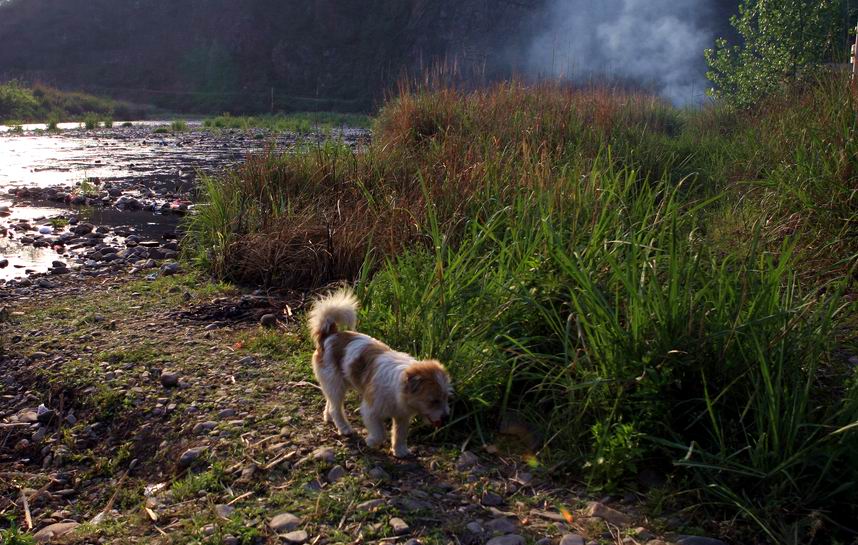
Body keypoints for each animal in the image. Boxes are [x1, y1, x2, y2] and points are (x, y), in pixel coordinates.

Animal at [310, 286, 454, 456]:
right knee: (336, 408)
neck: (398, 386)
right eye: (433, 401)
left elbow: (399, 434)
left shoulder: (402, 416)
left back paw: (329, 417)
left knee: (331, 402)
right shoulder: (370, 411)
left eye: (446, 398)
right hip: (335, 383)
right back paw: (344, 428)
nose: (446, 417)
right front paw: (372, 441)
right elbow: (380, 433)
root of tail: (329, 335)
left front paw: (400, 451)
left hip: (334, 384)